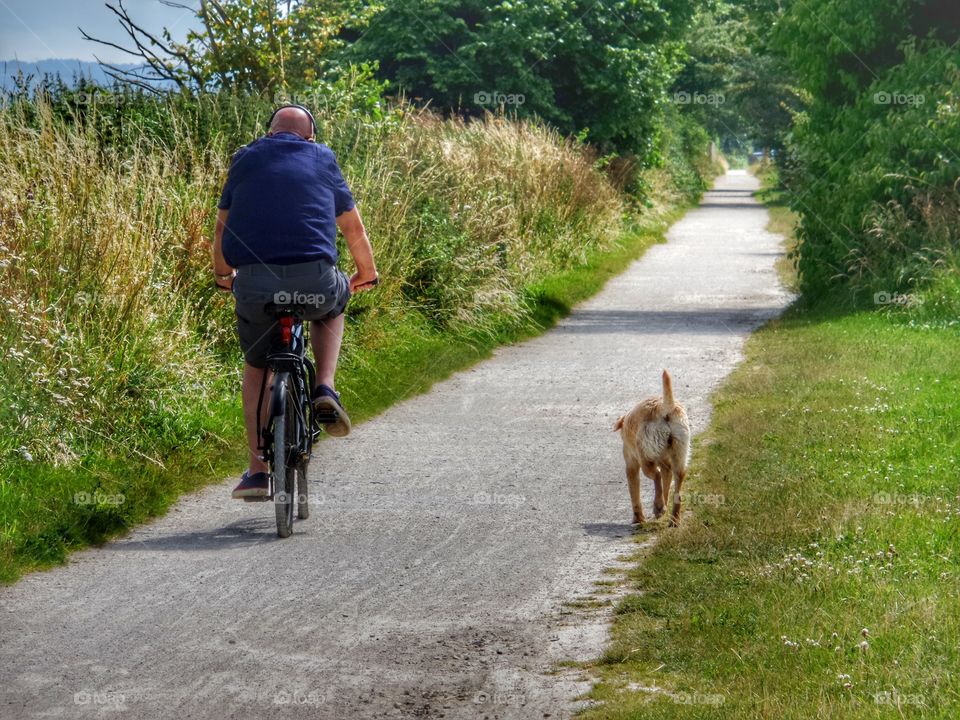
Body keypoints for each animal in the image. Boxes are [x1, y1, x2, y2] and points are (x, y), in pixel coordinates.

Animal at [616, 372, 688, 524]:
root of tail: (664, 407)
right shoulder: (666, 463)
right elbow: (666, 484)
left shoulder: (631, 463)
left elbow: (634, 492)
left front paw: (638, 518)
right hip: (680, 453)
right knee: (677, 480)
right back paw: (673, 519)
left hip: (645, 459)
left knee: (656, 474)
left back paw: (659, 507)